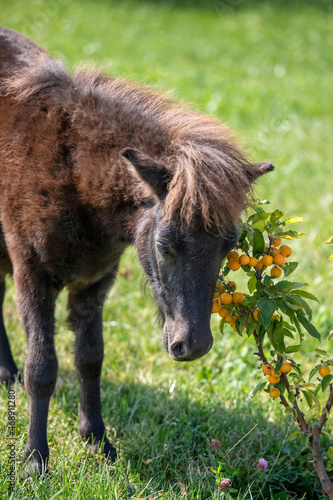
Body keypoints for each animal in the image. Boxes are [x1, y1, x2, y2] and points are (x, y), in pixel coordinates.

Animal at [0, 25, 272, 474]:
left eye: (228, 247)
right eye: (165, 246)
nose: (192, 346)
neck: (70, 172)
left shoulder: (93, 284)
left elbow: (90, 358)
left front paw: (97, 441)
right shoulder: (33, 278)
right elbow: (42, 369)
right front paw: (35, 461)